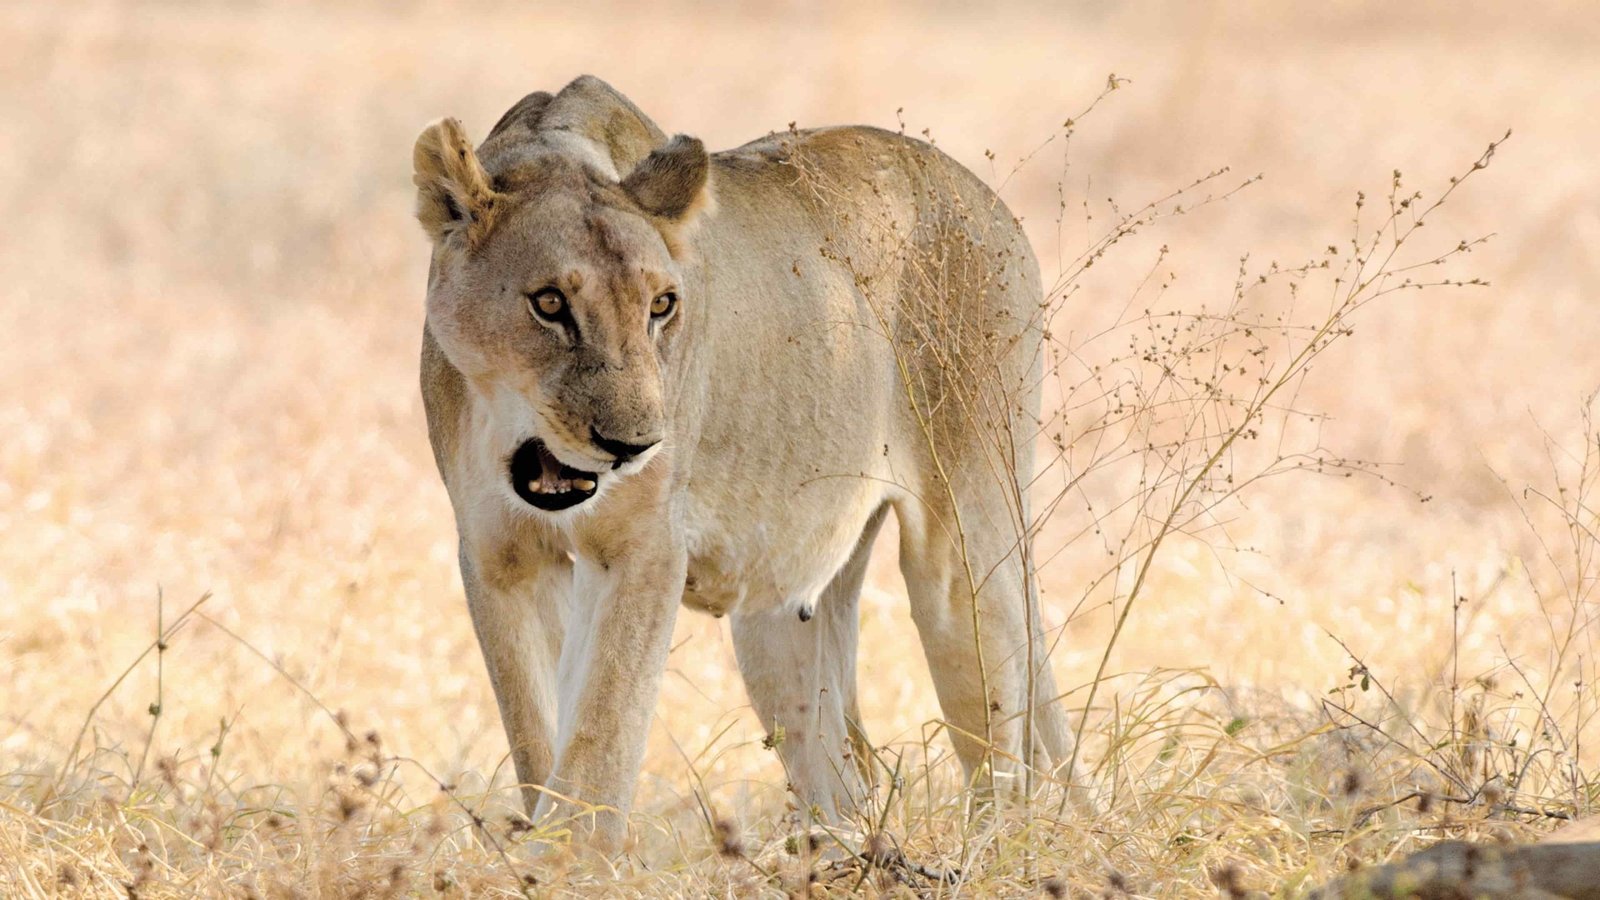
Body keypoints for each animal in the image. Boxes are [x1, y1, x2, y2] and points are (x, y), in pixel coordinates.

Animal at [413, 75, 1077, 850]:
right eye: (548, 303)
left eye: (662, 306)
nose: (635, 446)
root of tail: (985, 197)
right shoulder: (498, 555)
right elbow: (540, 734)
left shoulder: (645, 546)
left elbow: (603, 733)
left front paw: (569, 859)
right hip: (783, 613)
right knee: (845, 773)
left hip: (966, 553)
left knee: (1008, 758)